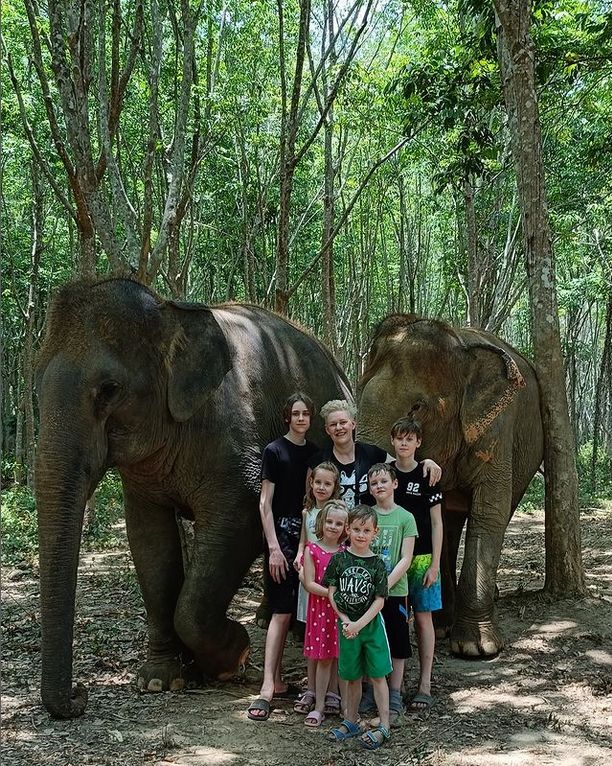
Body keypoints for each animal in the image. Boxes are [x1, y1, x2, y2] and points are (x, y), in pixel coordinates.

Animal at [34, 278, 350, 720]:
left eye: (109, 390)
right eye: (36, 385)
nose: (79, 694)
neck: (172, 312)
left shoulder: (235, 445)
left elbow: (241, 520)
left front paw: (234, 658)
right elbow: (150, 543)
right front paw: (160, 679)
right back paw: (268, 618)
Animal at [356, 316, 544, 656]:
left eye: (417, 407)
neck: (460, 349)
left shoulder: (498, 429)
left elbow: (490, 509)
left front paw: (477, 648)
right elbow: (435, 519)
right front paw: (447, 630)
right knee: (451, 522)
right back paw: (443, 625)